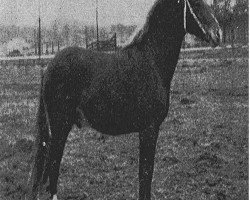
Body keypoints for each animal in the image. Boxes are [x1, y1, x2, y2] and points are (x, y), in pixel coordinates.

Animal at [27, 0, 221, 199]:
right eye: (195, 3)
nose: (217, 34)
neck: (151, 60)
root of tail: (49, 66)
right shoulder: (149, 129)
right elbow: (145, 174)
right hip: (60, 126)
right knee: (52, 164)